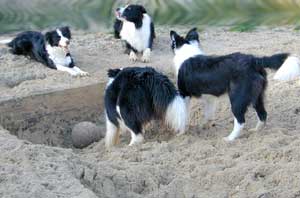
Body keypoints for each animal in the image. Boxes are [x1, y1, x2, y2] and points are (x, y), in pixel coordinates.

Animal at [170, 28, 300, 141]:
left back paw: (230, 138)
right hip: (257, 97)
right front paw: (204, 126)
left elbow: (183, 116)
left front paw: (181, 132)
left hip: (237, 100)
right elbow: (208, 114)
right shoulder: (210, 98)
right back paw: (255, 131)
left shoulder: (184, 95)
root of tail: (254, 60)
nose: (171, 32)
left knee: (241, 121)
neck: (187, 50)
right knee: (263, 114)